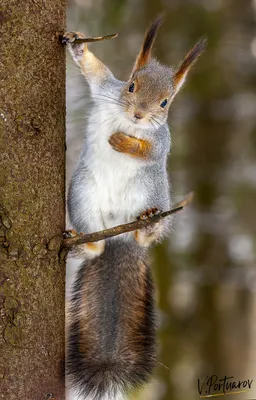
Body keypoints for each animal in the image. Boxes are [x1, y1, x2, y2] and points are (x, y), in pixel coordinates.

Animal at [63, 14, 207, 400]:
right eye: (130, 86)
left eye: (165, 103)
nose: (140, 116)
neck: (128, 122)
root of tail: (119, 233)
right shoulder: (105, 90)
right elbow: (95, 70)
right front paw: (77, 44)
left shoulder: (161, 142)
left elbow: (149, 150)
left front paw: (122, 142)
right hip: (81, 195)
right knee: (95, 245)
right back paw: (84, 242)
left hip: (154, 192)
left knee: (148, 233)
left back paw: (148, 226)